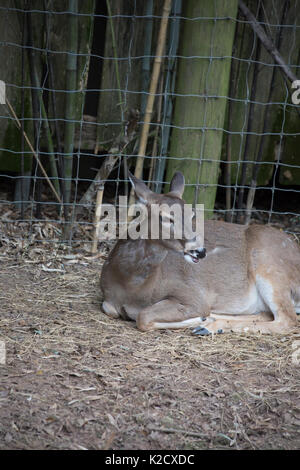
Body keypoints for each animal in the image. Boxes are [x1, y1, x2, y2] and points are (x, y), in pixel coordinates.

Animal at [101, 171, 300, 336]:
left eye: (192, 215)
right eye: (165, 217)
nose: (200, 250)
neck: (131, 286)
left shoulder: (193, 295)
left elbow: (143, 317)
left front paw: (199, 319)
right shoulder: (108, 299)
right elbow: (110, 308)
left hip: (270, 266)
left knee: (287, 319)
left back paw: (208, 325)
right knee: (267, 314)